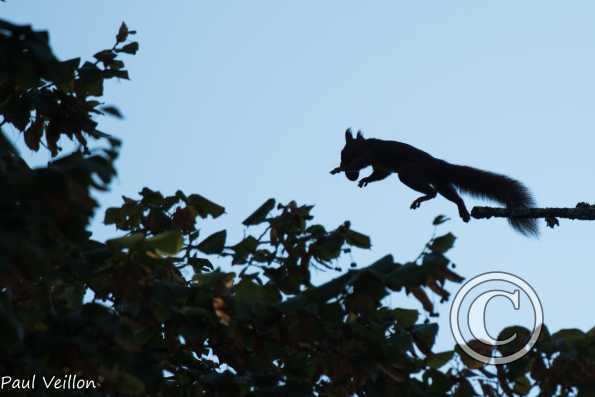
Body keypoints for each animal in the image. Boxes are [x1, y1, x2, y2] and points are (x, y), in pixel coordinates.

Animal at [330, 128, 540, 237]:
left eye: (345, 154)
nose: (342, 164)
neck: (366, 144)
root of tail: (439, 165)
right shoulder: (381, 167)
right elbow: (379, 175)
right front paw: (365, 179)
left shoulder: (367, 155)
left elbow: (363, 165)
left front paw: (340, 170)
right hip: (440, 181)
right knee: (450, 195)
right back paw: (462, 211)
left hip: (410, 174)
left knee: (433, 192)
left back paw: (425, 198)